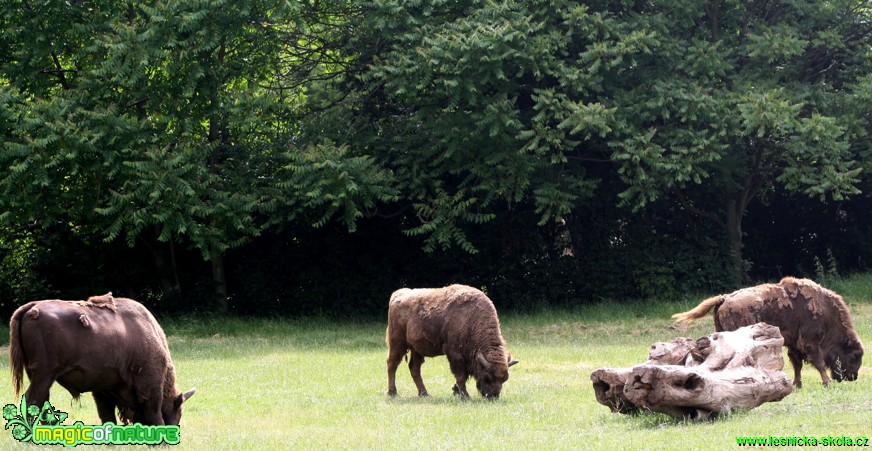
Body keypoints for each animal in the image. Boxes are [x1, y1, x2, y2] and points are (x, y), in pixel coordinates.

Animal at [10, 294, 195, 426]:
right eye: (178, 412)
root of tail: (31, 307)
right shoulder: (151, 387)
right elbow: (154, 415)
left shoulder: (103, 390)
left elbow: (107, 417)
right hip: (44, 374)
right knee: (33, 400)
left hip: (37, 375)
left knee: (41, 402)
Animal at [384, 286, 516, 400]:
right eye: (487, 377)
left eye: (505, 378)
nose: (493, 396)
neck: (471, 319)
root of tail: (397, 295)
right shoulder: (454, 353)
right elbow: (461, 375)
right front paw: (465, 395)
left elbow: (463, 375)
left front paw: (456, 390)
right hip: (397, 343)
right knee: (392, 363)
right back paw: (392, 392)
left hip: (416, 349)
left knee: (414, 368)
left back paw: (424, 393)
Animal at [672, 278, 860, 390]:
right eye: (855, 355)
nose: (853, 377)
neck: (826, 312)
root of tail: (724, 298)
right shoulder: (811, 343)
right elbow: (819, 362)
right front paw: (826, 383)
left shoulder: (794, 344)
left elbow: (797, 365)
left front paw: (797, 384)